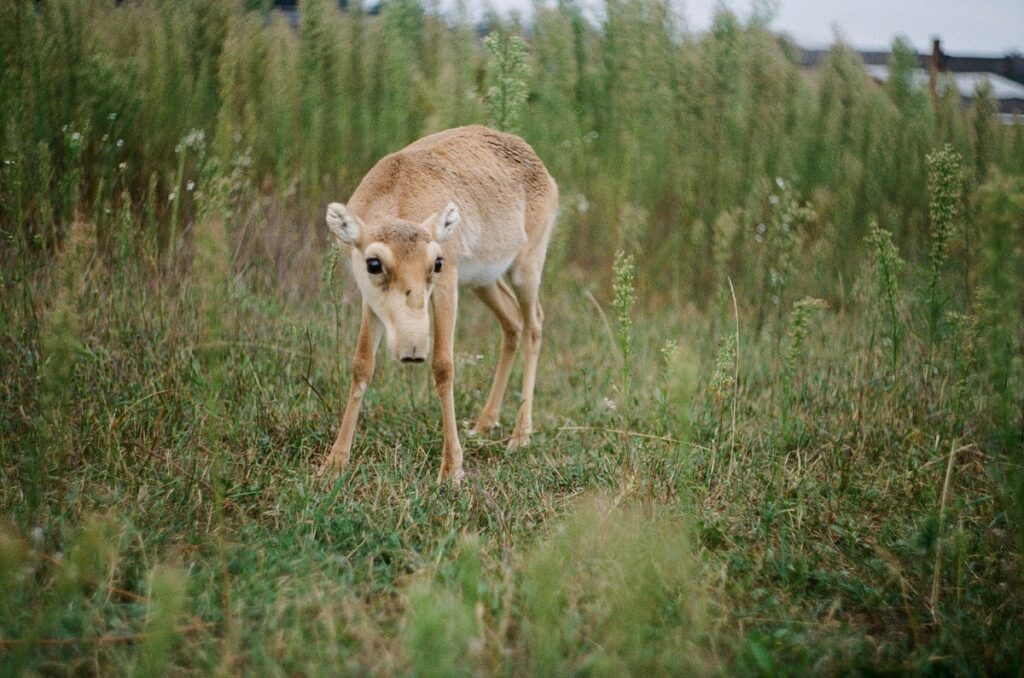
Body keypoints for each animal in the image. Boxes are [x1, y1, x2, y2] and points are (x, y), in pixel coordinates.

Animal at [321, 123, 557, 483]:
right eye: (373, 263)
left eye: (437, 263)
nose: (412, 349)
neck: (397, 192)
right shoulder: (370, 301)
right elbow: (361, 365)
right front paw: (335, 462)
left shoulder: (447, 286)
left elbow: (443, 365)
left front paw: (452, 468)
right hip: (483, 281)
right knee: (512, 324)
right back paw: (483, 424)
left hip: (525, 267)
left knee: (534, 325)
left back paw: (520, 436)